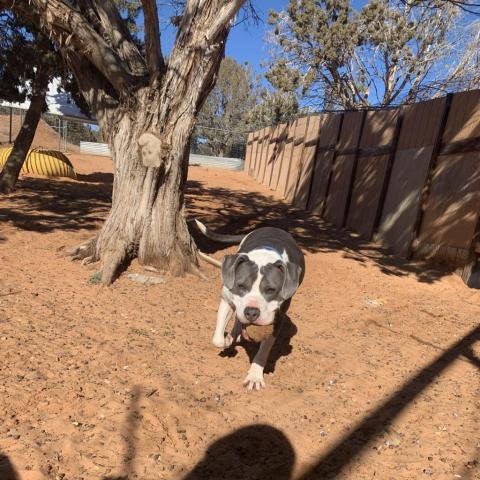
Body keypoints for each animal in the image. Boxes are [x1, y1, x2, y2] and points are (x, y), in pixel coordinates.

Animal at [194, 221, 304, 390]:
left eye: (271, 290)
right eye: (241, 286)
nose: (252, 312)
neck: (265, 256)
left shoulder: (277, 318)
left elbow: (264, 349)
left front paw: (255, 376)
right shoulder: (227, 299)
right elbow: (217, 339)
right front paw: (226, 340)